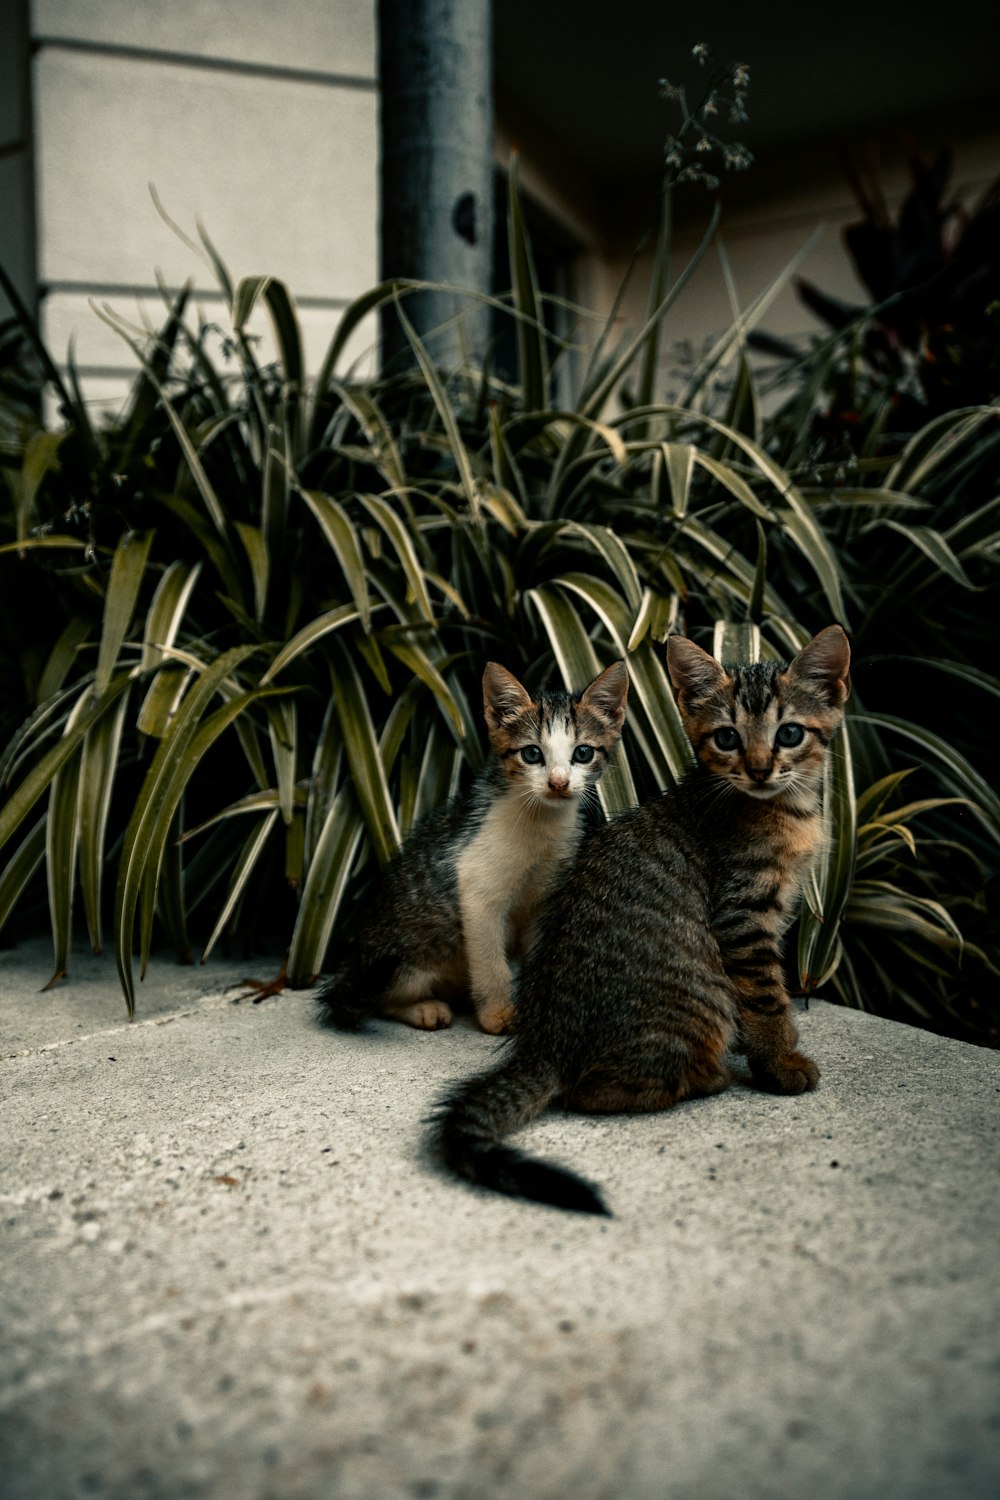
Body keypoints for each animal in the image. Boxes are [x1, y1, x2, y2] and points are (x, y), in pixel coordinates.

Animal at [316, 663, 629, 1038]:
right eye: (532, 753)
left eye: (582, 753)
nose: (558, 783)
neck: (540, 822)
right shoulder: (477, 889)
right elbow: (490, 961)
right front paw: (498, 1014)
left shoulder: (544, 899)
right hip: (405, 958)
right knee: (380, 997)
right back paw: (424, 1009)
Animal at [431, 627, 851, 1212]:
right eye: (727, 738)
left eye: (789, 733)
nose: (760, 768)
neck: (781, 808)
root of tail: (546, 1045)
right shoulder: (742, 913)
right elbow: (766, 993)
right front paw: (779, 1060)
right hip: (699, 999)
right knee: (591, 1092)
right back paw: (706, 1079)